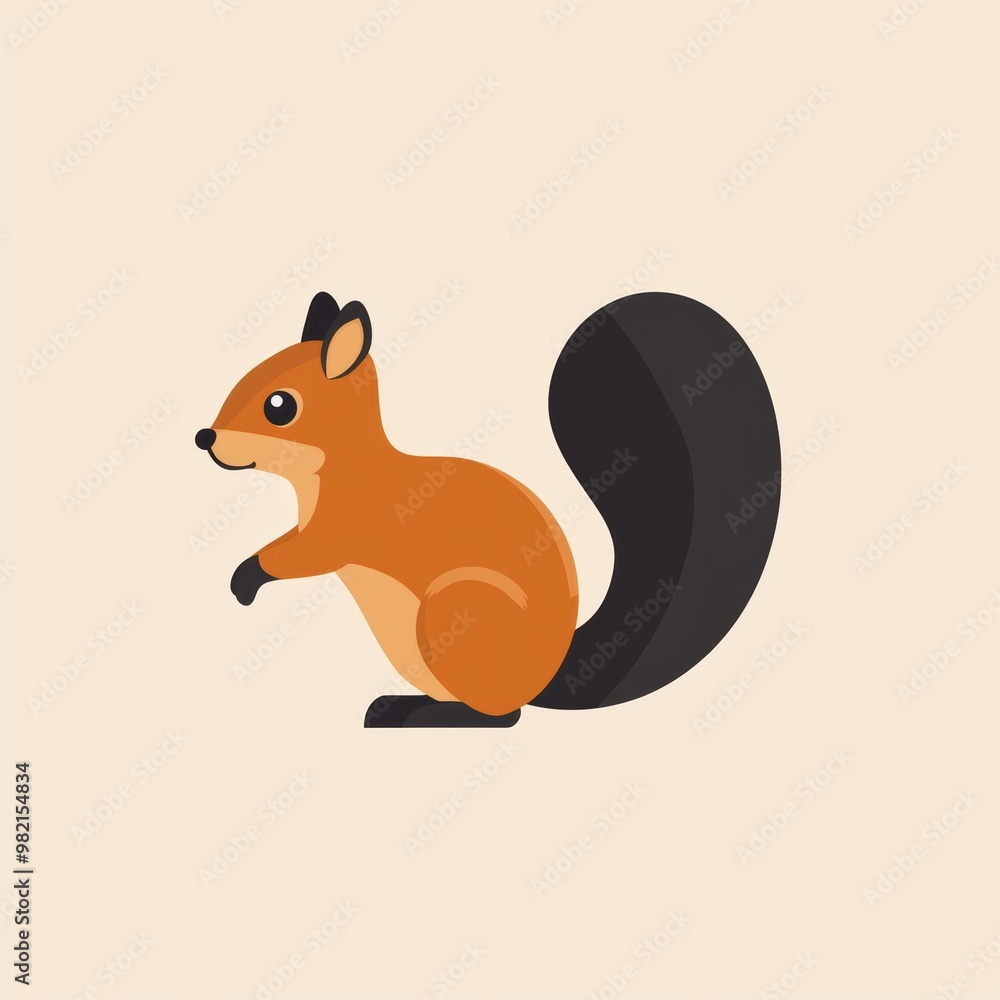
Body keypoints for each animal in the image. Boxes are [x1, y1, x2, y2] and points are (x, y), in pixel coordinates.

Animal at [196, 291, 780, 728]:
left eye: (280, 405)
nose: (206, 438)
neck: (340, 467)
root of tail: (547, 673)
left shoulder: (345, 528)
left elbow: (302, 555)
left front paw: (246, 580)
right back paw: (400, 706)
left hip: (456, 615)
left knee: (503, 716)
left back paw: (417, 716)